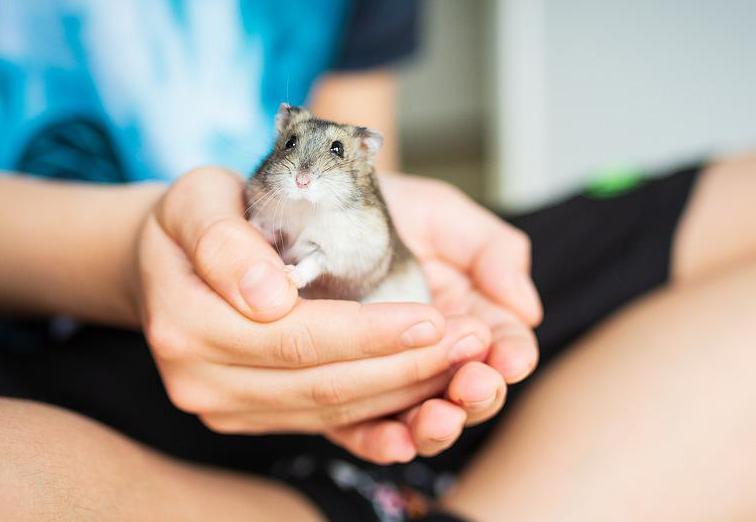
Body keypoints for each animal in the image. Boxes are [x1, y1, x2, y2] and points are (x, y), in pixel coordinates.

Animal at [245, 103, 430, 304]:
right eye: (290, 142)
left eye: (337, 148)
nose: (301, 181)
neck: (305, 206)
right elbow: (267, 228)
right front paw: (252, 226)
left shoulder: (337, 250)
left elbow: (313, 262)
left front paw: (290, 276)